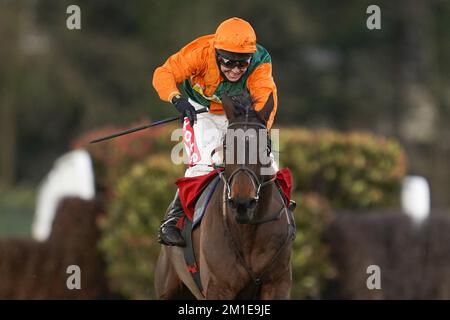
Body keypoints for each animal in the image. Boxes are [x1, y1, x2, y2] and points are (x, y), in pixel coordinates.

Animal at [156, 93, 296, 300]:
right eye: (226, 145)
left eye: (266, 148)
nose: (242, 203)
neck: (247, 233)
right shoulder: (219, 288)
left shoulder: (278, 284)